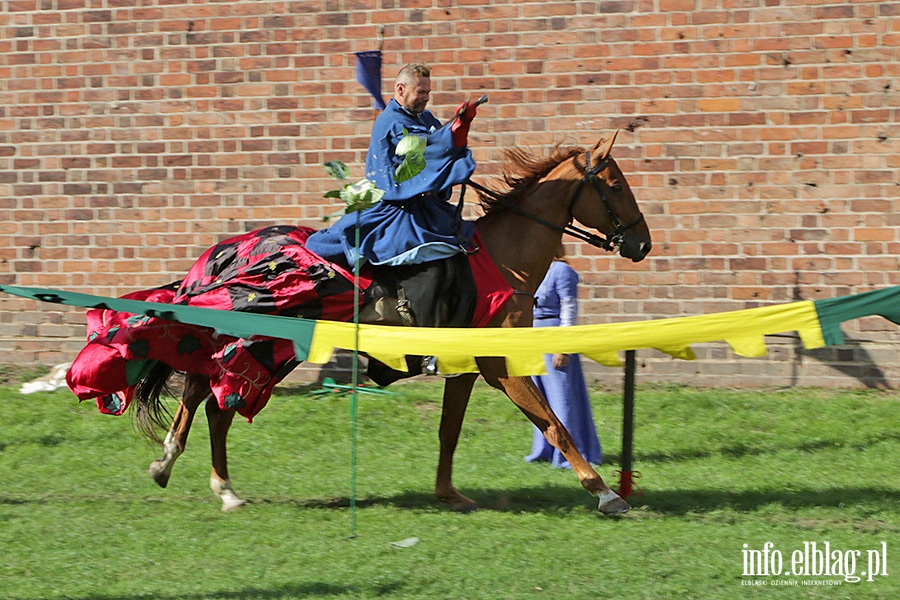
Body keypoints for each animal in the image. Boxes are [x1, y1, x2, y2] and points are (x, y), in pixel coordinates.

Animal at [141, 132, 652, 516]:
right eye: (616, 186)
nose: (643, 243)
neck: (504, 262)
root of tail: (230, 251)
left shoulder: (467, 368)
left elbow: (450, 430)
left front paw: (448, 493)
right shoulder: (501, 366)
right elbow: (554, 426)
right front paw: (605, 492)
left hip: (264, 346)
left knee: (208, 399)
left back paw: (201, 478)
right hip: (260, 343)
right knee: (211, 400)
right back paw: (191, 472)